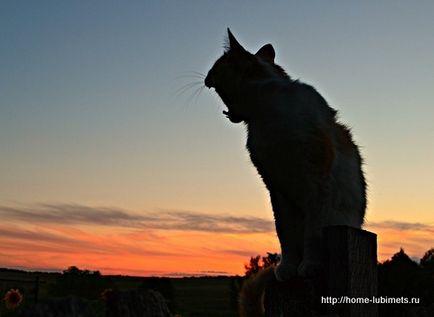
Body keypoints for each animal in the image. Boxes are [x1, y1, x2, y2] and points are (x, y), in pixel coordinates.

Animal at [204, 29, 366, 282]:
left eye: (215, 67)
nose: (205, 78)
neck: (266, 112)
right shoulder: (275, 187)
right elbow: (285, 232)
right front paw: (289, 267)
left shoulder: (316, 179)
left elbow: (313, 232)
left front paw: (310, 265)